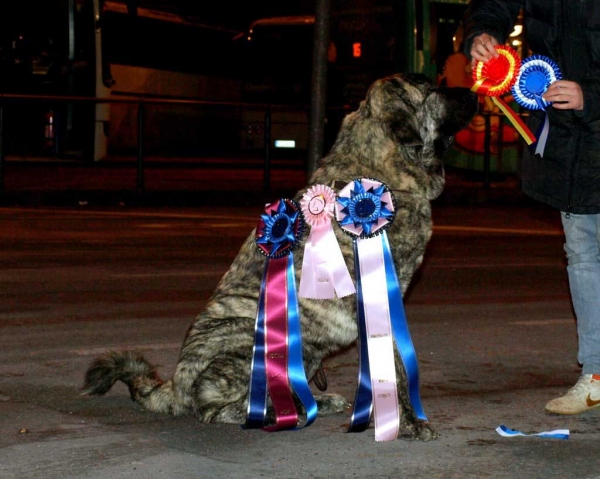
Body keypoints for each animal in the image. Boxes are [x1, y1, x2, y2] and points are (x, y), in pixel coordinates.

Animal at [83, 72, 478, 442]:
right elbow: (394, 365)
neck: (380, 174)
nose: (476, 93)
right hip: (253, 340)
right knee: (212, 409)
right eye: (431, 88)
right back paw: (281, 413)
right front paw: (408, 422)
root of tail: (174, 387)